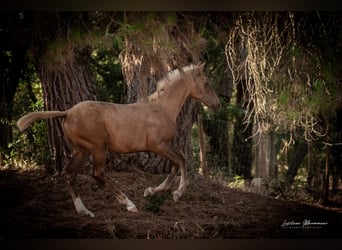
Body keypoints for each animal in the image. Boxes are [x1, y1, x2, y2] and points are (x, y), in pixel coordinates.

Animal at [16, 63, 219, 218]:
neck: (162, 109)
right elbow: (180, 160)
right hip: (97, 148)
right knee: (97, 174)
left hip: (81, 150)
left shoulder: (164, 145)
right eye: (207, 83)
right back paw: (129, 204)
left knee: (70, 174)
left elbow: (179, 160)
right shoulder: (157, 145)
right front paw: (177, 192)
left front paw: (152, 191)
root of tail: (67, 112)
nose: (217, 104)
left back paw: (85, 211)